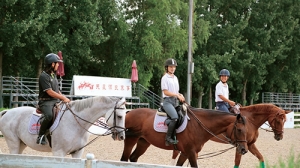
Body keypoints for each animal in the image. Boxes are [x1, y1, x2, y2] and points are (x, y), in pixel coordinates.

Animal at [119, 107, 248, 167]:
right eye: (239, 130)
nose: (244, 150)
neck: (199, 126)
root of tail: (129, 112)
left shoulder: (185, 153)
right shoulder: (191, 152)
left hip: (143, 142)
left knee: (133, 158)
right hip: (131, 139)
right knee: (124, 159)